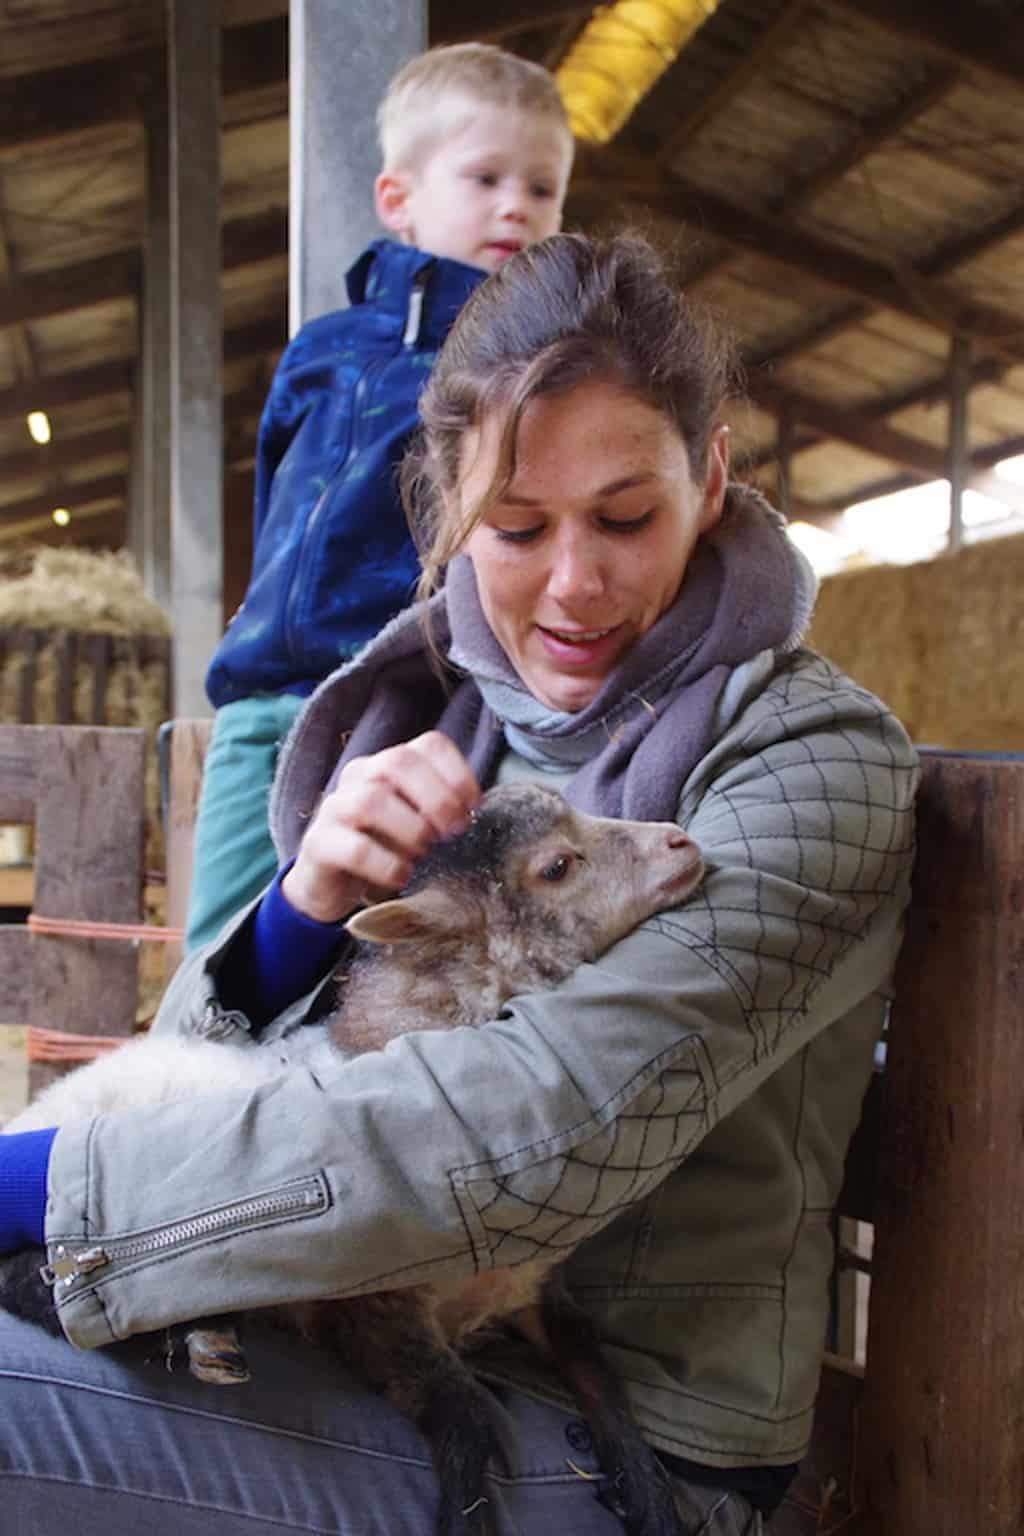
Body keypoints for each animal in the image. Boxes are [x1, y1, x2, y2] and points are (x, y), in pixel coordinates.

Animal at [0, 786, 706, 1536]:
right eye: (557, 867)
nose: (682, 842)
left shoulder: (534, 1285)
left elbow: (595, 1365)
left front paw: (648, 1494)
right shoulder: (370, 1312)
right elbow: (463, 1414)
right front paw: (466, 1517)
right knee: (37, 1281)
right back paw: (194, 1335)